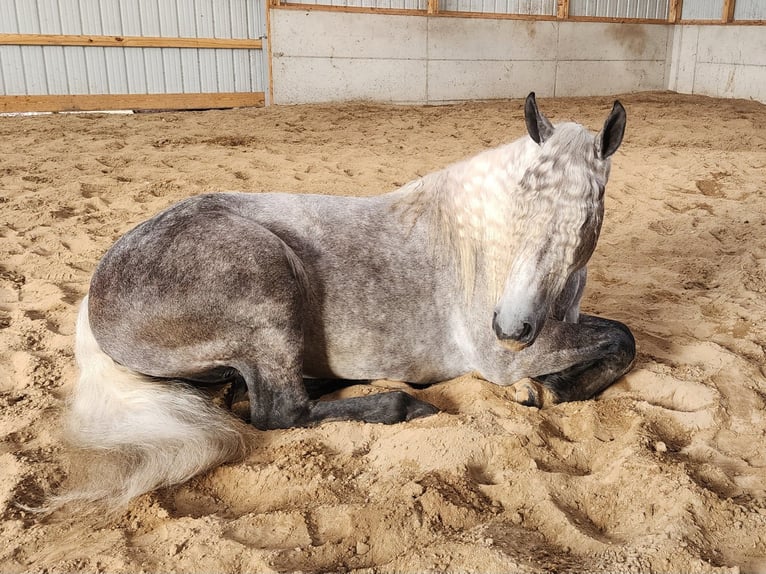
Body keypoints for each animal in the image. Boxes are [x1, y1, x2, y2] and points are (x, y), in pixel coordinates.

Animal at [53, 93, 633, 509]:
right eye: (519, 205)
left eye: (586, 214)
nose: (511, 329)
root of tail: (96, 290)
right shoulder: (505, 358)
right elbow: (624, 340)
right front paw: (547, 390)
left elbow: (617, 338)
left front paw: (547, 388)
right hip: (268, 284)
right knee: (278, 411)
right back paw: (403, 404)